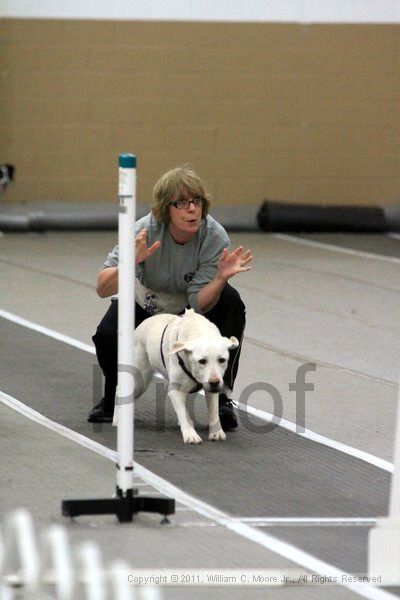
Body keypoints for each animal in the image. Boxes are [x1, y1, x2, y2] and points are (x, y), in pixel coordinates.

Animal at [132, 312, 238, 442]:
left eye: (222, 360)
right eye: (202, 361)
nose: (214, 382)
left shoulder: (211, 389)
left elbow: (213, 411)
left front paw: (216, 432)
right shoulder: (175, 390)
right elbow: (182, 412)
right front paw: (190, 434)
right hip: (140, 381)